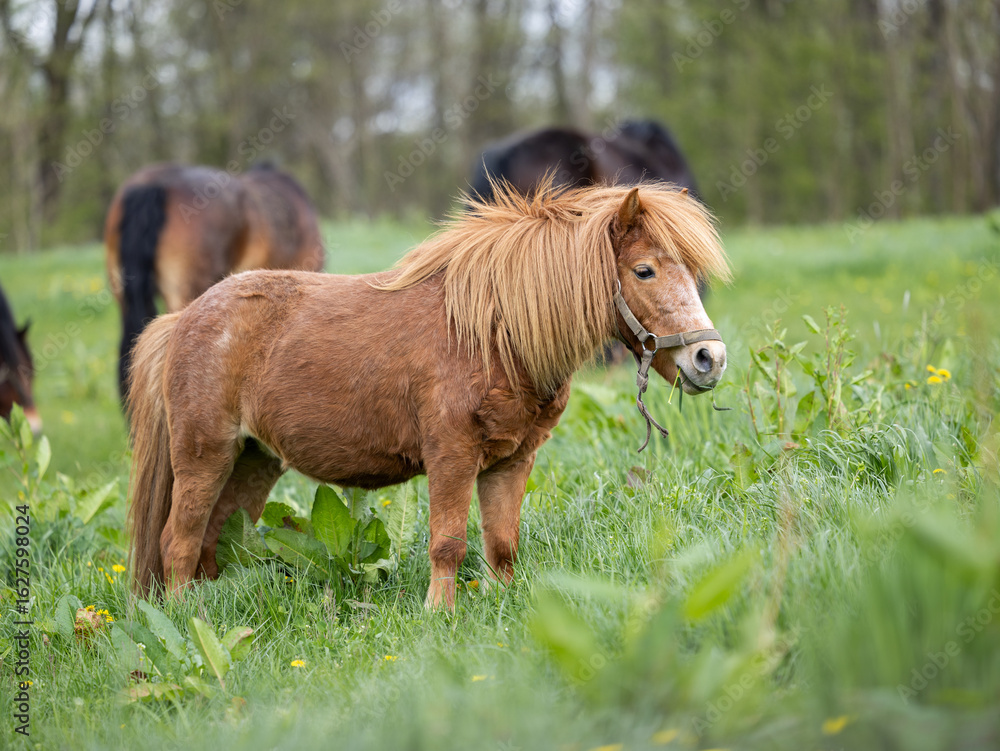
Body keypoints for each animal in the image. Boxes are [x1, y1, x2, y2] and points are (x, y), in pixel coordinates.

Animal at [126, 181, 730, 609]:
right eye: (644, 271)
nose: (710, 359)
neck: (492, 334)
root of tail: (185, 319)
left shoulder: (510, 462)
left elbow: (502, 545)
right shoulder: (451, 457)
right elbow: (449, 542)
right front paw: (439, 615)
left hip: (254, 461)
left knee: (214, 542)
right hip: (205, 455)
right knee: (178, 542)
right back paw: (184, 618)